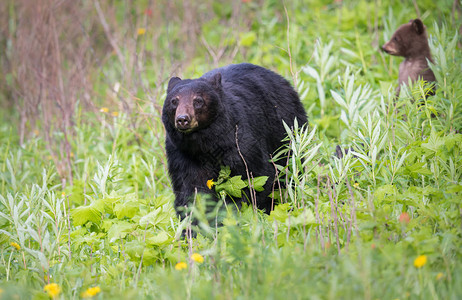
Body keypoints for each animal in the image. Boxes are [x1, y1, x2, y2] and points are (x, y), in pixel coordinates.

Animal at [162, 62, 306, 213]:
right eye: (174, 101)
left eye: (198, 100)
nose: (182, 119)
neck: (204, 143)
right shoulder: (181, 152)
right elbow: (191, 186)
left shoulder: (239, 141)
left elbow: (256, 177)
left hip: (288, 130)